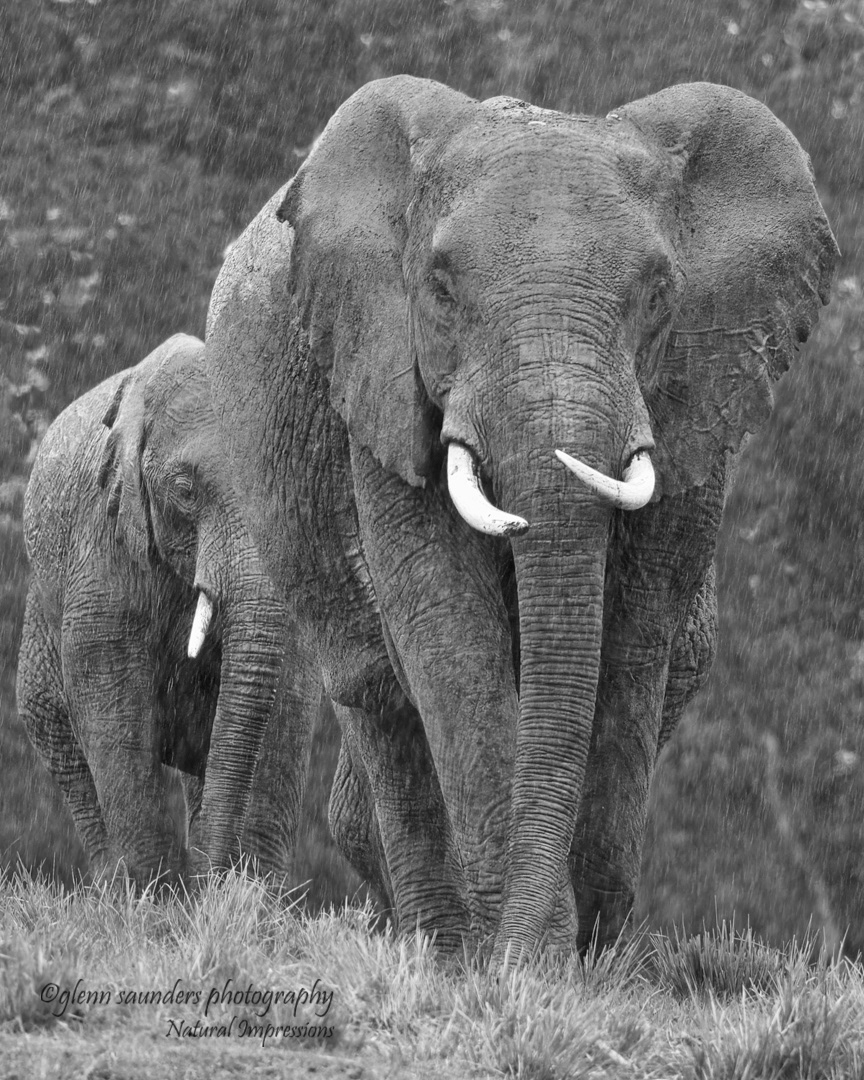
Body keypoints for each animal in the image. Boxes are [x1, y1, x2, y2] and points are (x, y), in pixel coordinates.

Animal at [16, 334, 319, 889]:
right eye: (185, 490)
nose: (213, 880)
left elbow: (289, 686)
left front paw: (252, 900)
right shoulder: (105, 531)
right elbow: (104, 677)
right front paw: (156, 897)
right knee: (60, 737)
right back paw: (116, 886)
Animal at [203, 77, 837, 966]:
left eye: (658, 293)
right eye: (439, 288)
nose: (532, 949)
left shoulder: (699, 393)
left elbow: (634, 631)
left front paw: (582, 957)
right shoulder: (383, 375)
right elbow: (445, 618)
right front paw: (523, 959)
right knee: (374, 688)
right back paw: (441, 946)